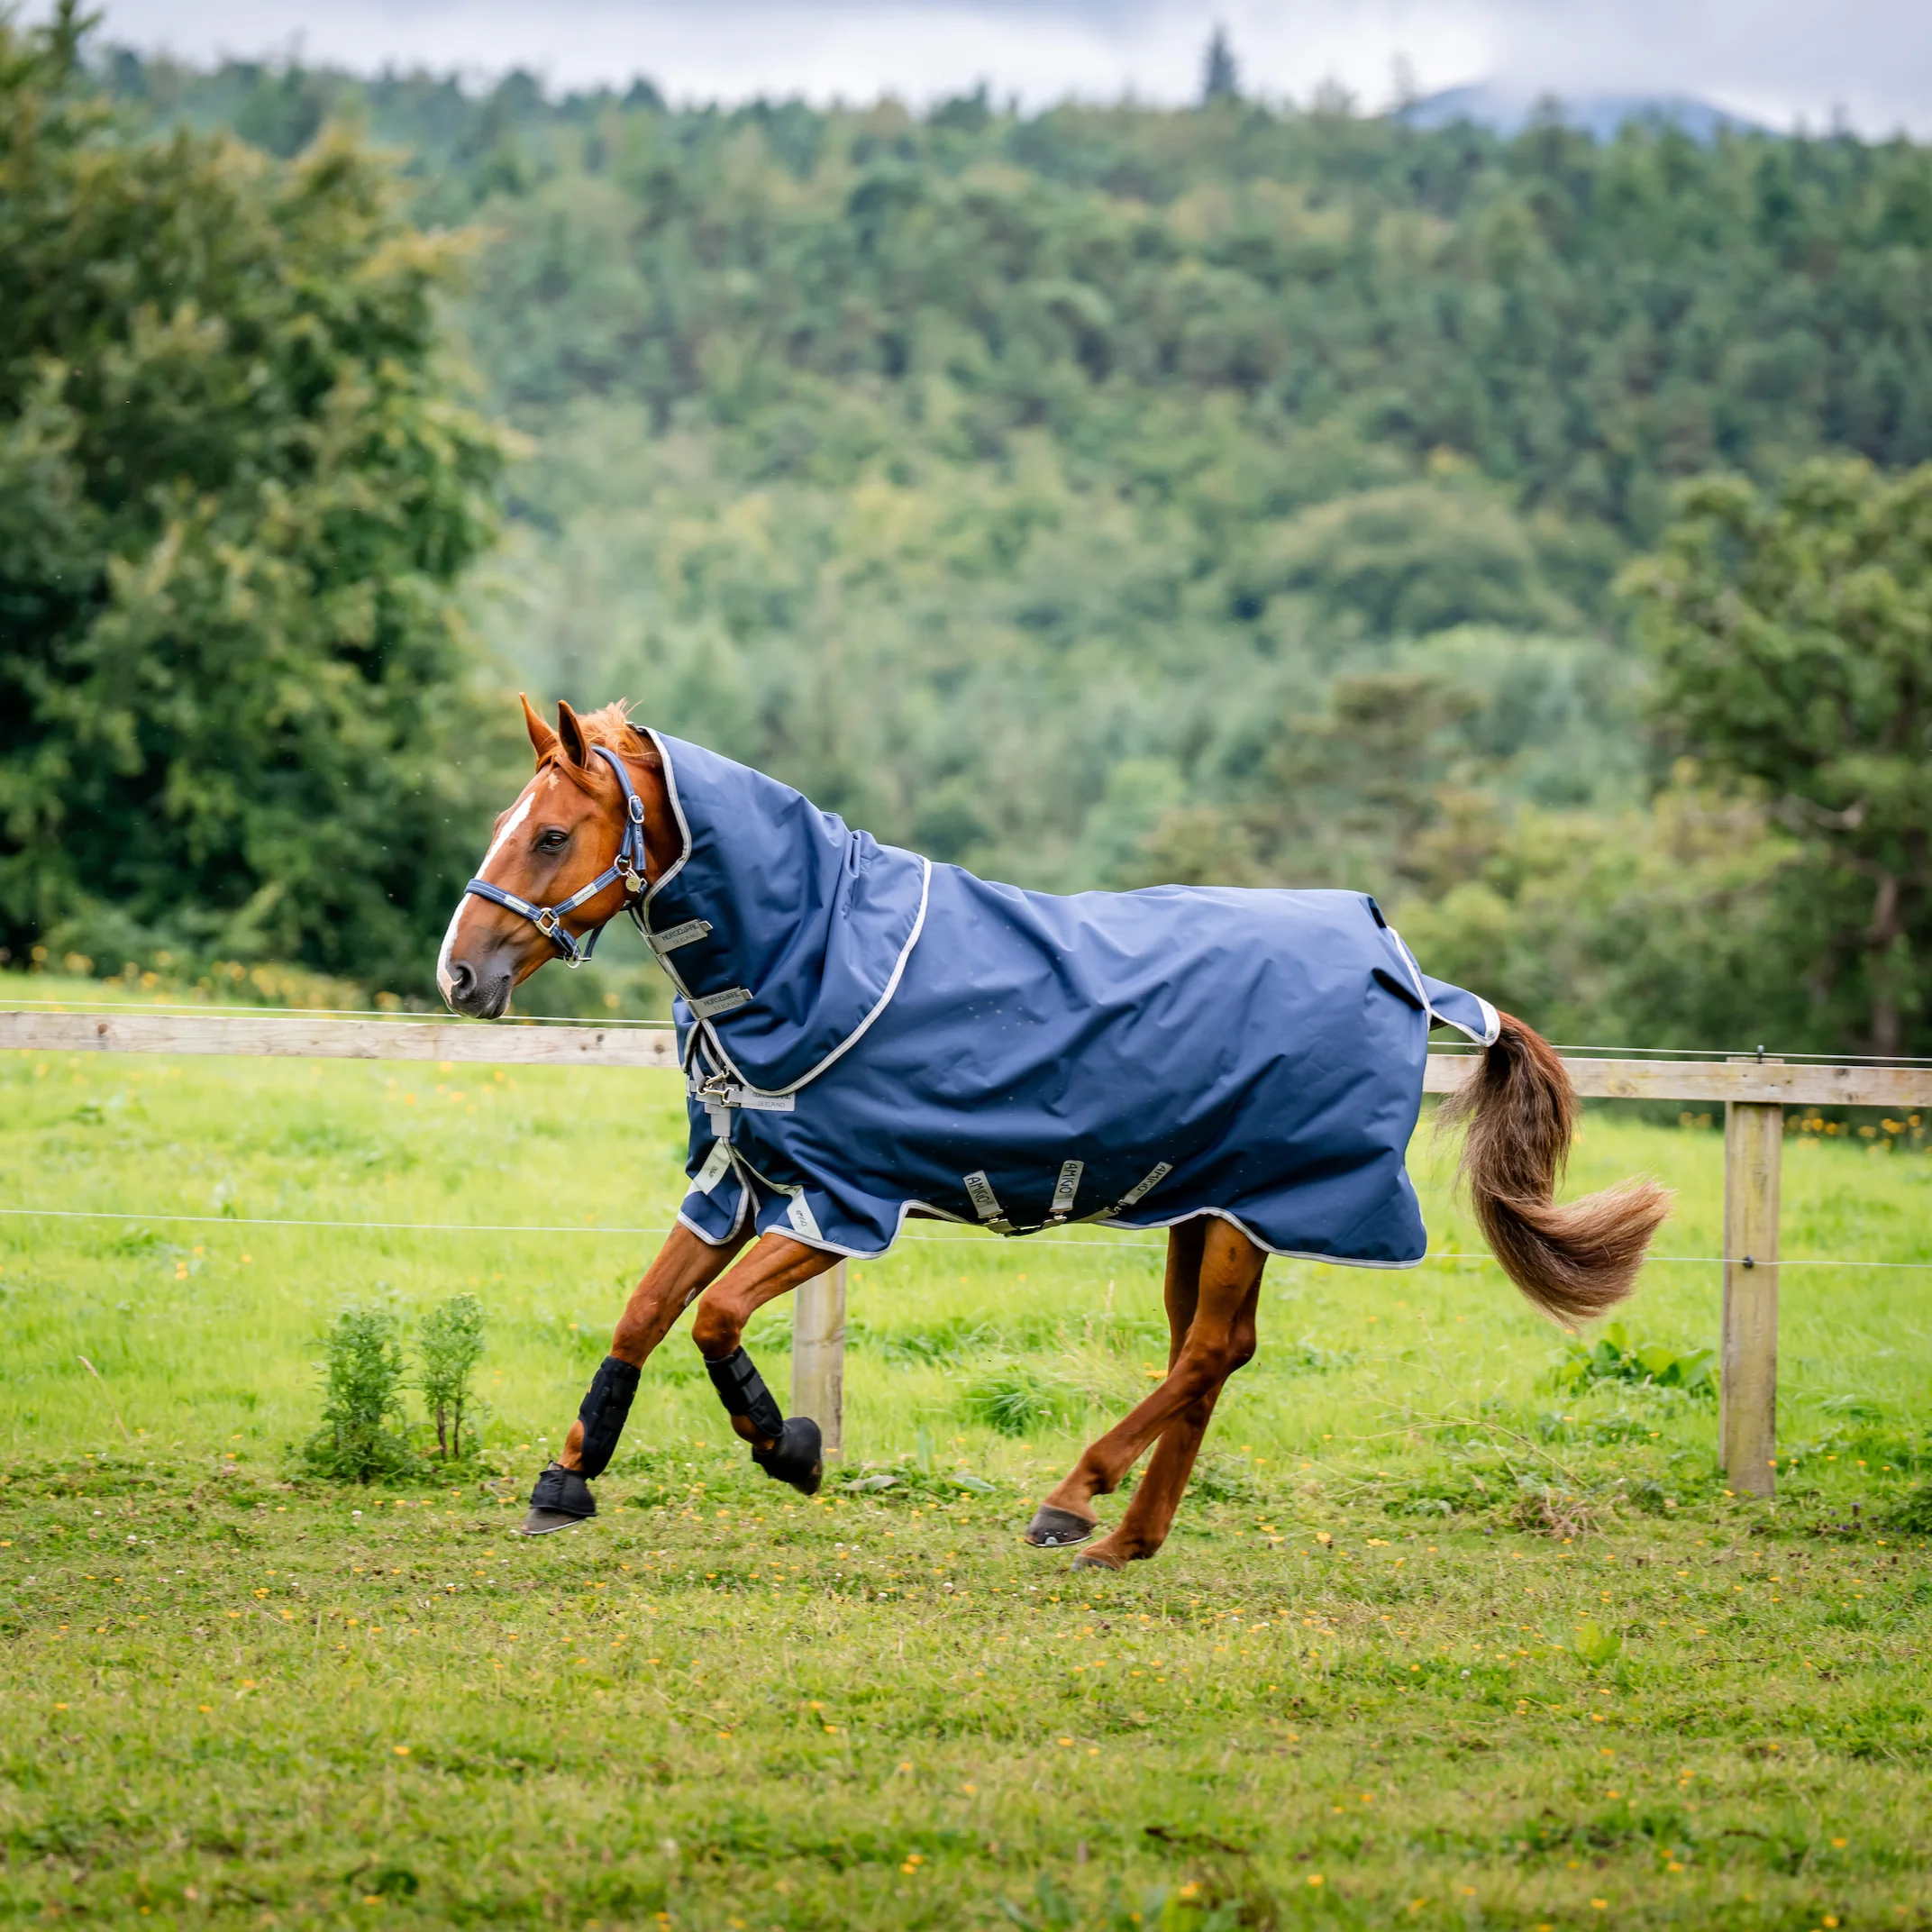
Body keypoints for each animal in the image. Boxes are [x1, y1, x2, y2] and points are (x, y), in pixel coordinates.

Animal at [439, 697, 1670, 1567]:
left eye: (550, 833)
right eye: (504, 825)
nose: (461, 972)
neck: (815, 954)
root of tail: (1402, 965)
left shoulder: (841, 1201)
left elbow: (714, 1318)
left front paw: (786, 1446)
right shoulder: (742, 1179)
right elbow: (646, 1310)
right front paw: (566, 1480)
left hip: (1254, 1205)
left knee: (1208, 1351)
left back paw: (1072, 1500)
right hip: (1206, 1202)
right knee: (1210, 1352)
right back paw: (1127, 1537)